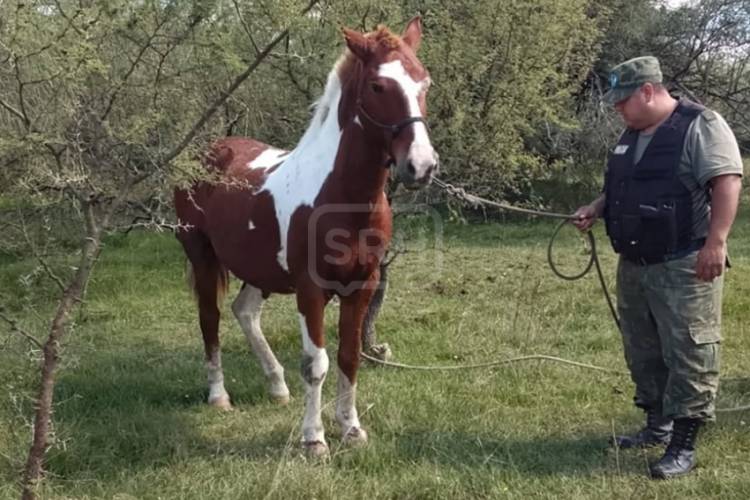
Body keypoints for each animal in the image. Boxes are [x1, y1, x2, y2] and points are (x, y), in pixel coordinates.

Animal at [174, 17, 437, 457]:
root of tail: (210, 151)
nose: (421, 166)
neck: (340, 196)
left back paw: (277, 386)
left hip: (259, 269)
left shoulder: (361, 286)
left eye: (424, 82)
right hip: (203, 255)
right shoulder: (310, 289)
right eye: (378, 86)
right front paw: (314, 440)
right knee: (210, 319)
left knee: (245, 311)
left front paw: (351, 429)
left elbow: (349, 356)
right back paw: (219, 396)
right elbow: (316, 364)